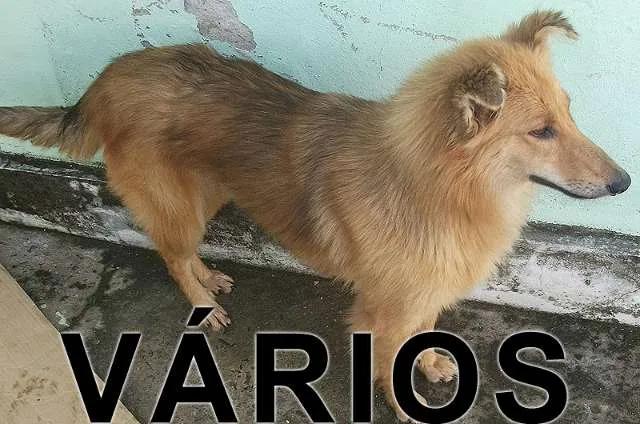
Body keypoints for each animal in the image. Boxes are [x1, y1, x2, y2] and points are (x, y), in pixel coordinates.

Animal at [0, 10, 630, 420]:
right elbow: (390, 362)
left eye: (570, 113)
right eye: (540, 131)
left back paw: (210, 278)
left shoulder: (422, 291)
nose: (624, 183)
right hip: (180, 204)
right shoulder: (385, 308)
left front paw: (430, 362)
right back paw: (202, 302)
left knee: (180, 251)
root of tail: (105, 79)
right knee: (172, 255)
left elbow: (421, 332)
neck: (434, 185)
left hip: (205, 195)